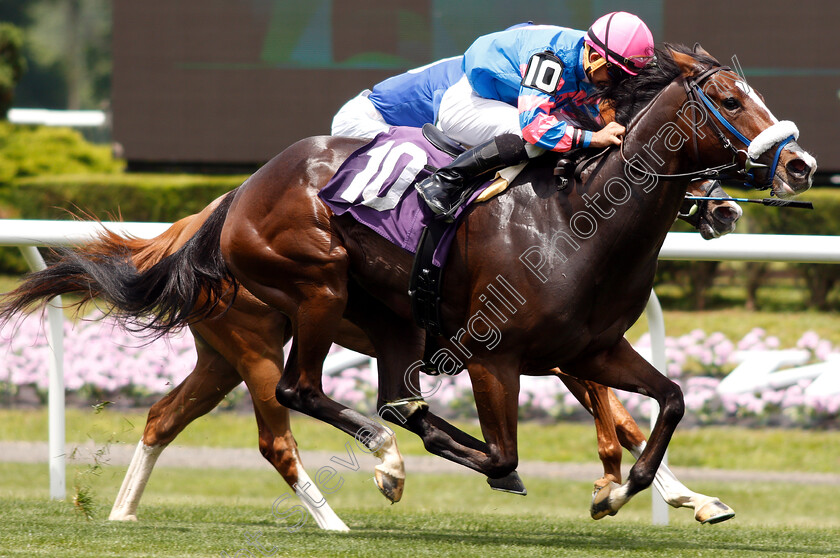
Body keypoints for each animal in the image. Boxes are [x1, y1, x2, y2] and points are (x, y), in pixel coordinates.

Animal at [0, 44, 812, 524]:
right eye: (730, 102)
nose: (801, 166)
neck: (575, 217)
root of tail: (232, 197)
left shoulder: (589, 349)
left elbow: (665, 403)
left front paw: (640, 489)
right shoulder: (501, 357)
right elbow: (516, 451)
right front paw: (602, 483)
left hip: (248, 346)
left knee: (171, 416)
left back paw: (124, 512)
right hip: (301, 303)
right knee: (292, 409)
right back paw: (358, 491)